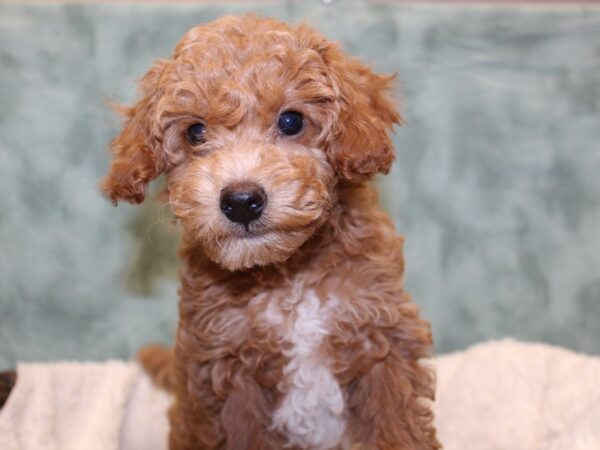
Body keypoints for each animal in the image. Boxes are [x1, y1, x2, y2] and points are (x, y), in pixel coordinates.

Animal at [102, 14, 440, 450]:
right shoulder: (225, 370)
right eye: (195, 132)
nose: (241, 200)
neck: (286, 275)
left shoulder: (384, 339)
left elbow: (398, 427)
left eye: (291, 121)